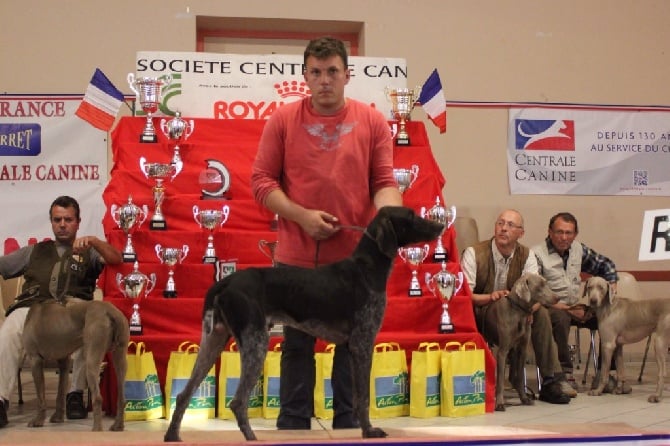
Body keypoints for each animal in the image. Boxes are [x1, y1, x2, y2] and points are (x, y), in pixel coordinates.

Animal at [22, 298, 130, 430]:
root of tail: (110, 311)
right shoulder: (64, 361)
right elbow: (61, 392)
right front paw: (58, 417)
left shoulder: (35, 359)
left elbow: (40, 396)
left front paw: (38, 421)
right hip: (120, 356)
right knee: (122, 398)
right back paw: (118, 425)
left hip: (92, 358)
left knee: (98, 398)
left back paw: (97, 429)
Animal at [165, 206, 444, 442]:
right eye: (410, 216)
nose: (440, 225)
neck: (367, 268)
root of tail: (224, 282)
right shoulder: (362, 343)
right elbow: (363, 396)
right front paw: (369, 431)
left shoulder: (352, 346)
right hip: (255, 343)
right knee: (237, 401)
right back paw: (251, 438)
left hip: (213, 340)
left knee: (183, 394)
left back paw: (172, 436)